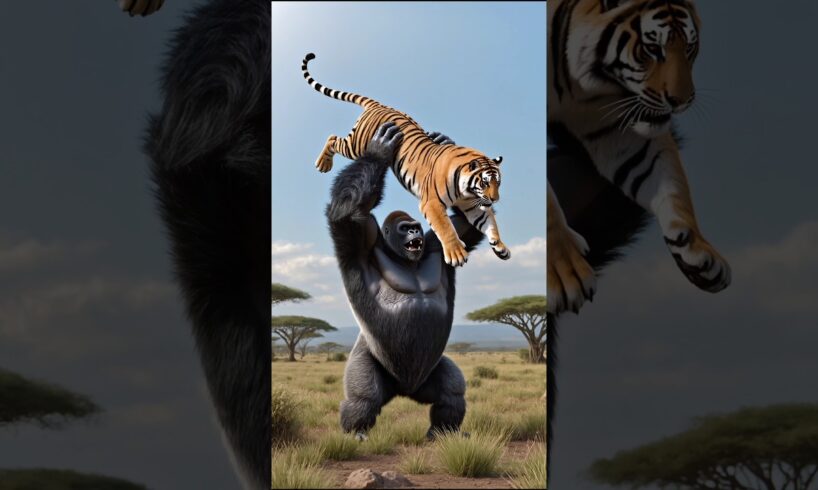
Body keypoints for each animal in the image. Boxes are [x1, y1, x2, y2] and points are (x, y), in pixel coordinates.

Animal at [302, 53, 510, 267]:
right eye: (485, 182)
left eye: (498, 183)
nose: (495, 199)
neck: (465, 189)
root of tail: (378, 104)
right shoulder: (432, 203)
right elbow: (445, 228)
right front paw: (456, 253)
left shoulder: (472, 204)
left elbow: (490, 223)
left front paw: (500, 247)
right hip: (355, 145)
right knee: (333, 138)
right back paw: (323, 164)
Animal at [326, 122, 485, 440]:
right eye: (404, 228)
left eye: (415, 228)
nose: (415, 235)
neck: (401, 255)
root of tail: (403, 390)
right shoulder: (361, 237)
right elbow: (347, 211)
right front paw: (378, 152)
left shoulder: (436, 242)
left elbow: (467, 223)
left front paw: (444, 144)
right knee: (363, 397)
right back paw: (355, 432)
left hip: (425, 379)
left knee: (450, 390)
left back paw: (443, 432)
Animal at [547, 0, 730, 315]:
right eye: (652, 49)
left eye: (689, 47)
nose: (681, 102)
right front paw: (564, 273)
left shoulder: (614, 126)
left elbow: (669, 182)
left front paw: (699, 252)